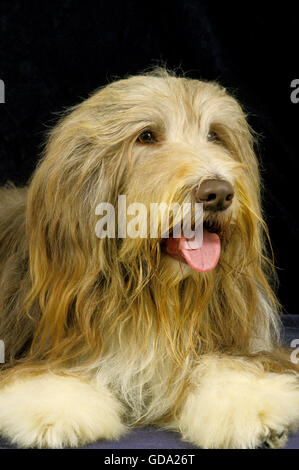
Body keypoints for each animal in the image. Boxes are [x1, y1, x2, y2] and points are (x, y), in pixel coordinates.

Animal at [0, 69, 299, 448]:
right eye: (146, 136)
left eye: (215, 135)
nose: (218, 193)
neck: (148, 295)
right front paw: (55, 414)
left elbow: (231, 365)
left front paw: (255, 409)